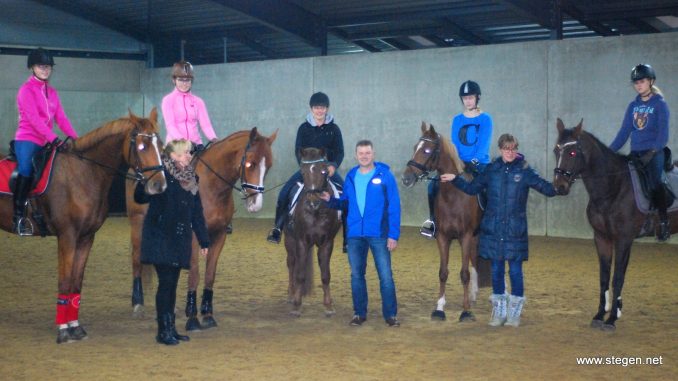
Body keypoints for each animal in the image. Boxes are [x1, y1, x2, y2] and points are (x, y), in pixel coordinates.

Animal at [0, 109, 167, 342]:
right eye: (142, 146)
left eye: (160, 145)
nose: (159, 185)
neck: (83, 174)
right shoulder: (67, 236)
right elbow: (65, 281)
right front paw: (63, 330)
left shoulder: (86, 238)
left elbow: (76, 282)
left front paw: (75, 326)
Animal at [126, 127, 278, 330]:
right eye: (250, 163)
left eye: (268, 166)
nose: (255, 205)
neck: (211, 187)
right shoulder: (193, 238)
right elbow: (195, 275)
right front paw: (192, 317)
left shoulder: (219, 236)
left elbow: (209, 275)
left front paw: (207, 314)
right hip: (137, 224)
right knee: (136, 259)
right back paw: (138, 304)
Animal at [286, 147, 342, 316]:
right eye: (303, 172)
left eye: (324, 171)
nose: (313, 201)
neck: (316, 212)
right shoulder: (301, 242)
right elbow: (300, 274)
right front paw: (296, 305)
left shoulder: (327, 243)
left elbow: (325, 275)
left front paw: (328, 305)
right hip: (289, 240)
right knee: (291, 264)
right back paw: (291, 294)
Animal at [402, 121, 492, 320]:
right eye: (414, 147)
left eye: (427, 150)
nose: (406, 178)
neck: (454, 194)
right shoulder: (443, 237)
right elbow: (443, 273)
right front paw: (439, 308)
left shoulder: (465, 236)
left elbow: (464, 274)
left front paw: (466, 311)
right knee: (474, 259)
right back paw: (473, 294)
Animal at [556, 119, 676, 330]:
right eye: (556, 150)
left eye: (572, 153)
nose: (559, 186)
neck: (613, 187)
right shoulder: (602, 238)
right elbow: (604, 277)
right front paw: (600, 315)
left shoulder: (624, 239)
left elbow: (617, 277)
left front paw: (612, 318)